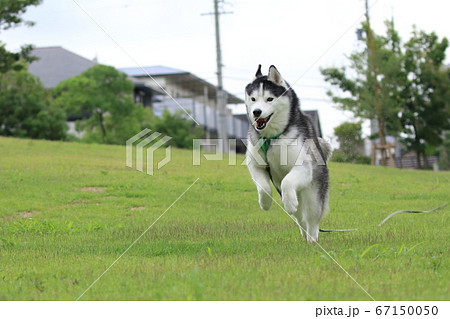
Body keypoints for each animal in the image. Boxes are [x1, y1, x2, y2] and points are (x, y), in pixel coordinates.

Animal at [244, 66, 332, 244]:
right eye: (253, 99)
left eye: (270, 99)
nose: (256, 112)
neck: (272, 137)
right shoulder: (255, 165)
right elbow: (264, 187)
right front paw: (265, 203)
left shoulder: (303, 168)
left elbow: (287, 181)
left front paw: (290, 203)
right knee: (300, 218)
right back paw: (304, 234)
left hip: (312, 195)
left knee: (312, 219)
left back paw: (312, 239)